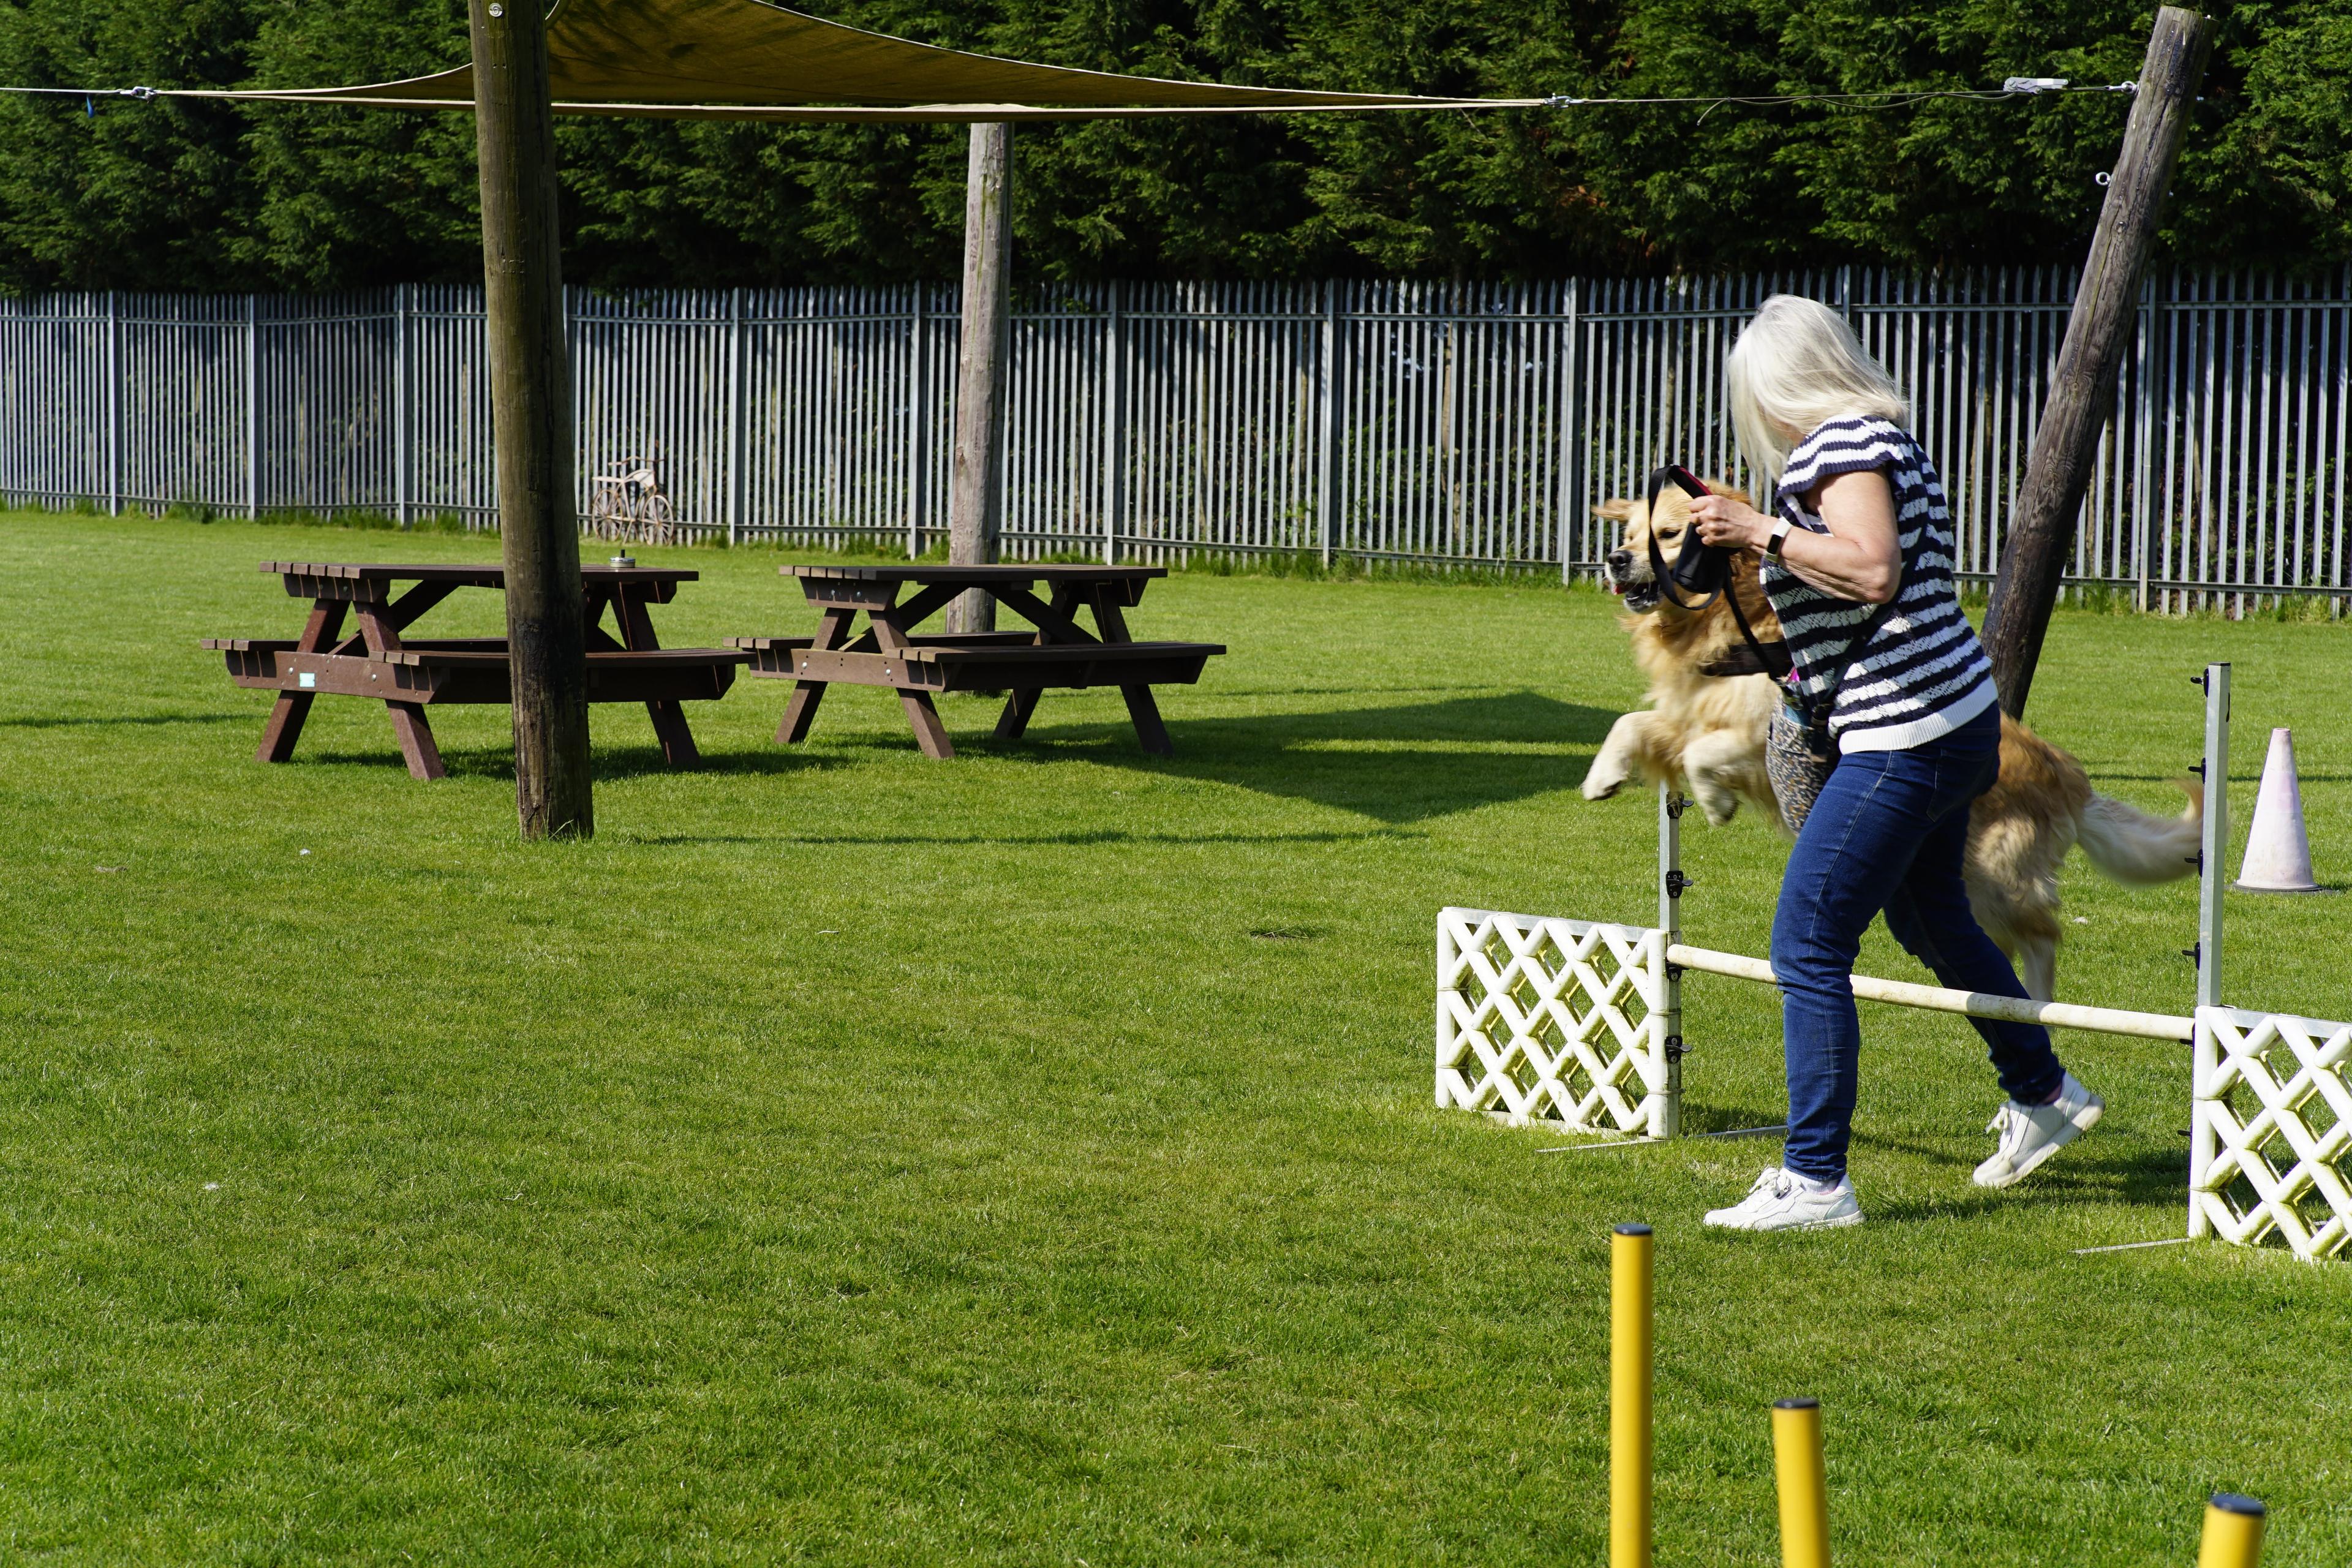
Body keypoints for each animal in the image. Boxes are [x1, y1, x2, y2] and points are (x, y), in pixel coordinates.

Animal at [1580, 479, 2201, 1001]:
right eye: (1629, 534)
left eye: (1667, 536)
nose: (1616, 559)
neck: (1730, 623)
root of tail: (2069, 779)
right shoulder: (1692, 708)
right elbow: (1632, 724)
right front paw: (1602, 776)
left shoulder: (1768, 730)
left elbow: (1701, 753)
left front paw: (1715, 803)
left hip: (1992, 878)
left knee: (2041, 936)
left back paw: (2039, 1004)